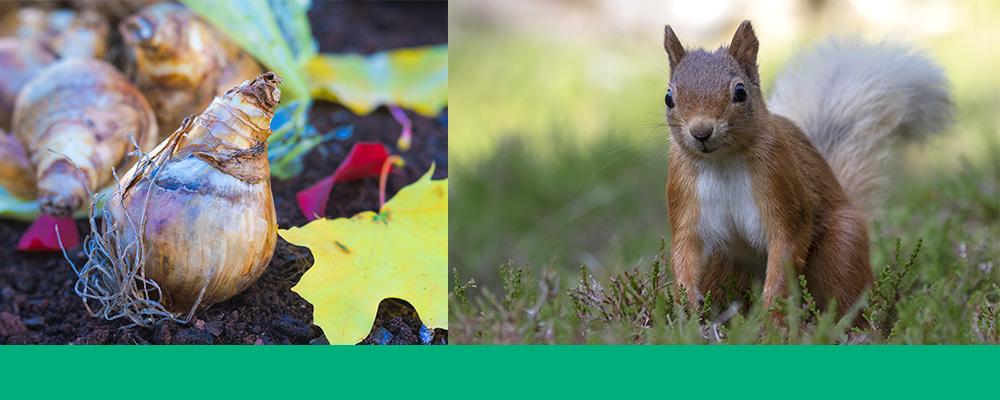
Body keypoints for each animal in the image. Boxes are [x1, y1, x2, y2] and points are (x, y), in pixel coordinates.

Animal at [662, 20, 952, 320]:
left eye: (740, 92)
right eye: (669, 97)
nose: (701, 131)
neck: (723, 162)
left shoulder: (782, 186)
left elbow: (785, 253)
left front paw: (770, 319)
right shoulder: (684, 198)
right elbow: (685, 252)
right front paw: (686, 309)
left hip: (841, 250)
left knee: (843, 291)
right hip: (724, 260)